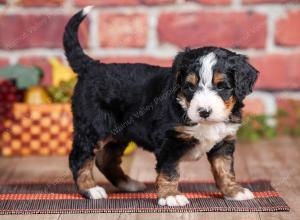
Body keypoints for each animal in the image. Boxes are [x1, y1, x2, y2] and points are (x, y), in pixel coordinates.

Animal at [62, 6, 258, 206]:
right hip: (93, 126)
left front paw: (234, 191)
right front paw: (171, 195)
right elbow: (169, 171)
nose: (204, 111)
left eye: (222, 86)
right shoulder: (170, 141)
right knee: (79, 157)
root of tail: (91, 67)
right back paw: (90, 189)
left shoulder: (223, 142)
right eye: (189, 86)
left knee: (106, 159)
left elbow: (225, 169)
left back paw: (128, 184)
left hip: (119, 132)